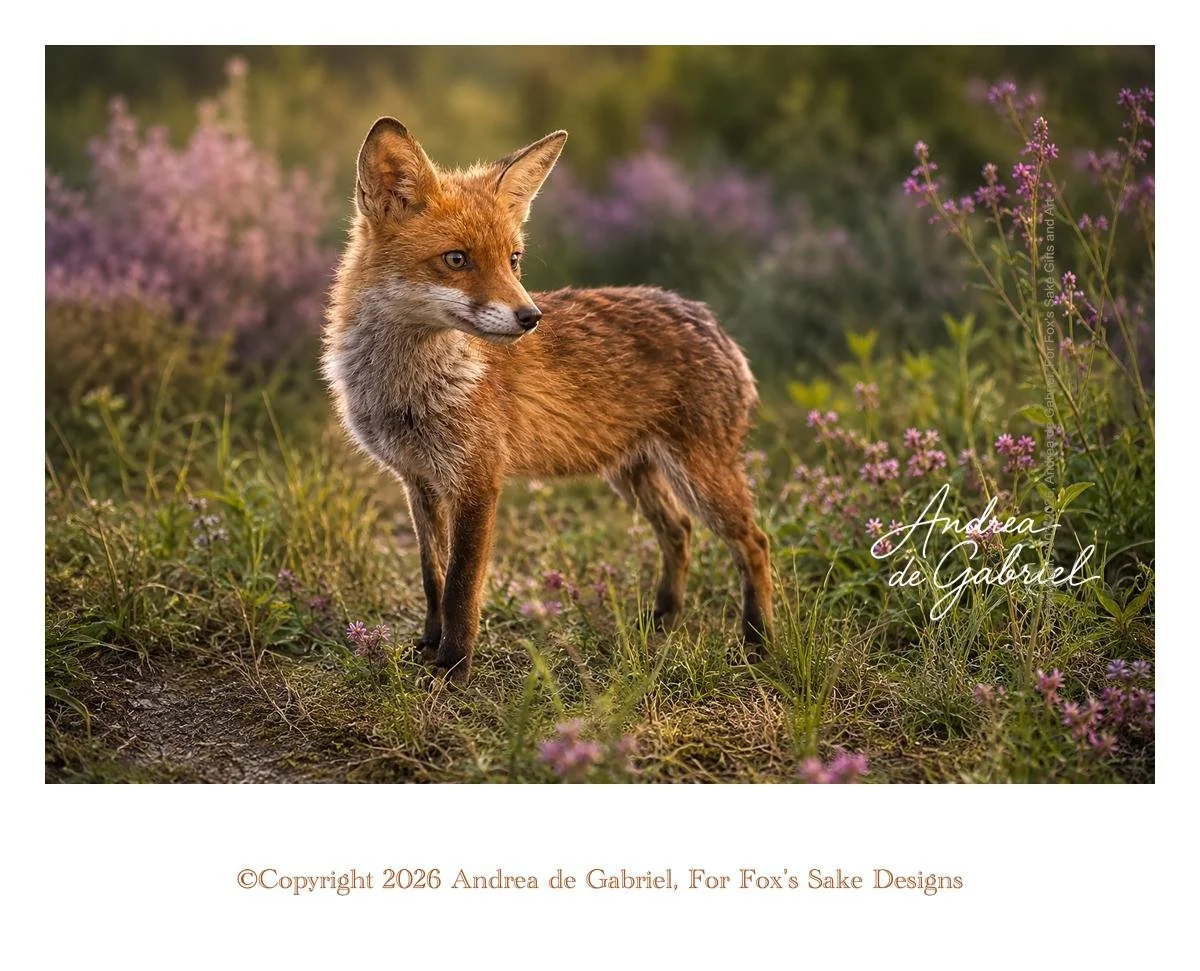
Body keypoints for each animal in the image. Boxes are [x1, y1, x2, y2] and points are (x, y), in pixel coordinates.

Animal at [322, 118, 773, 684]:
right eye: (456, 260)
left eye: (513, 260)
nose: (530, 317)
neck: (407, 388)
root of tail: (711, 321)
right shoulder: (418, 482)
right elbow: (432, 578)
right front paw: (427, 647)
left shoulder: (478, 480)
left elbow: (461, 588)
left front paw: (453, 669)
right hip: (634, 474)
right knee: (680, 531)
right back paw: (663, 620)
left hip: (700, 477)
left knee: (755, 543)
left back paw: (758, 641)